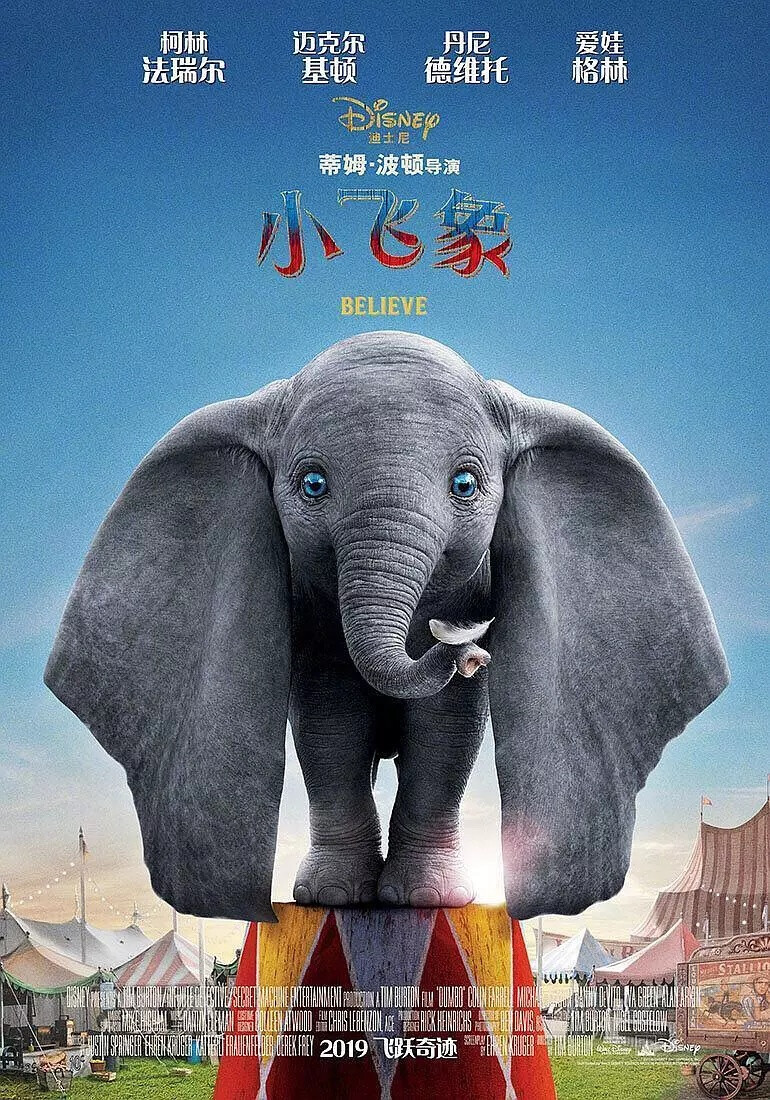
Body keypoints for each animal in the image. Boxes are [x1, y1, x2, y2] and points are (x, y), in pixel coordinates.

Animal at [45, 331, 729, 923]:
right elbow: (331, 721)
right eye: (312, 485)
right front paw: (333, 899)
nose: (470, 646)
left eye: (466, 484)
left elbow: (445, 728)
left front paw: (429, 901)